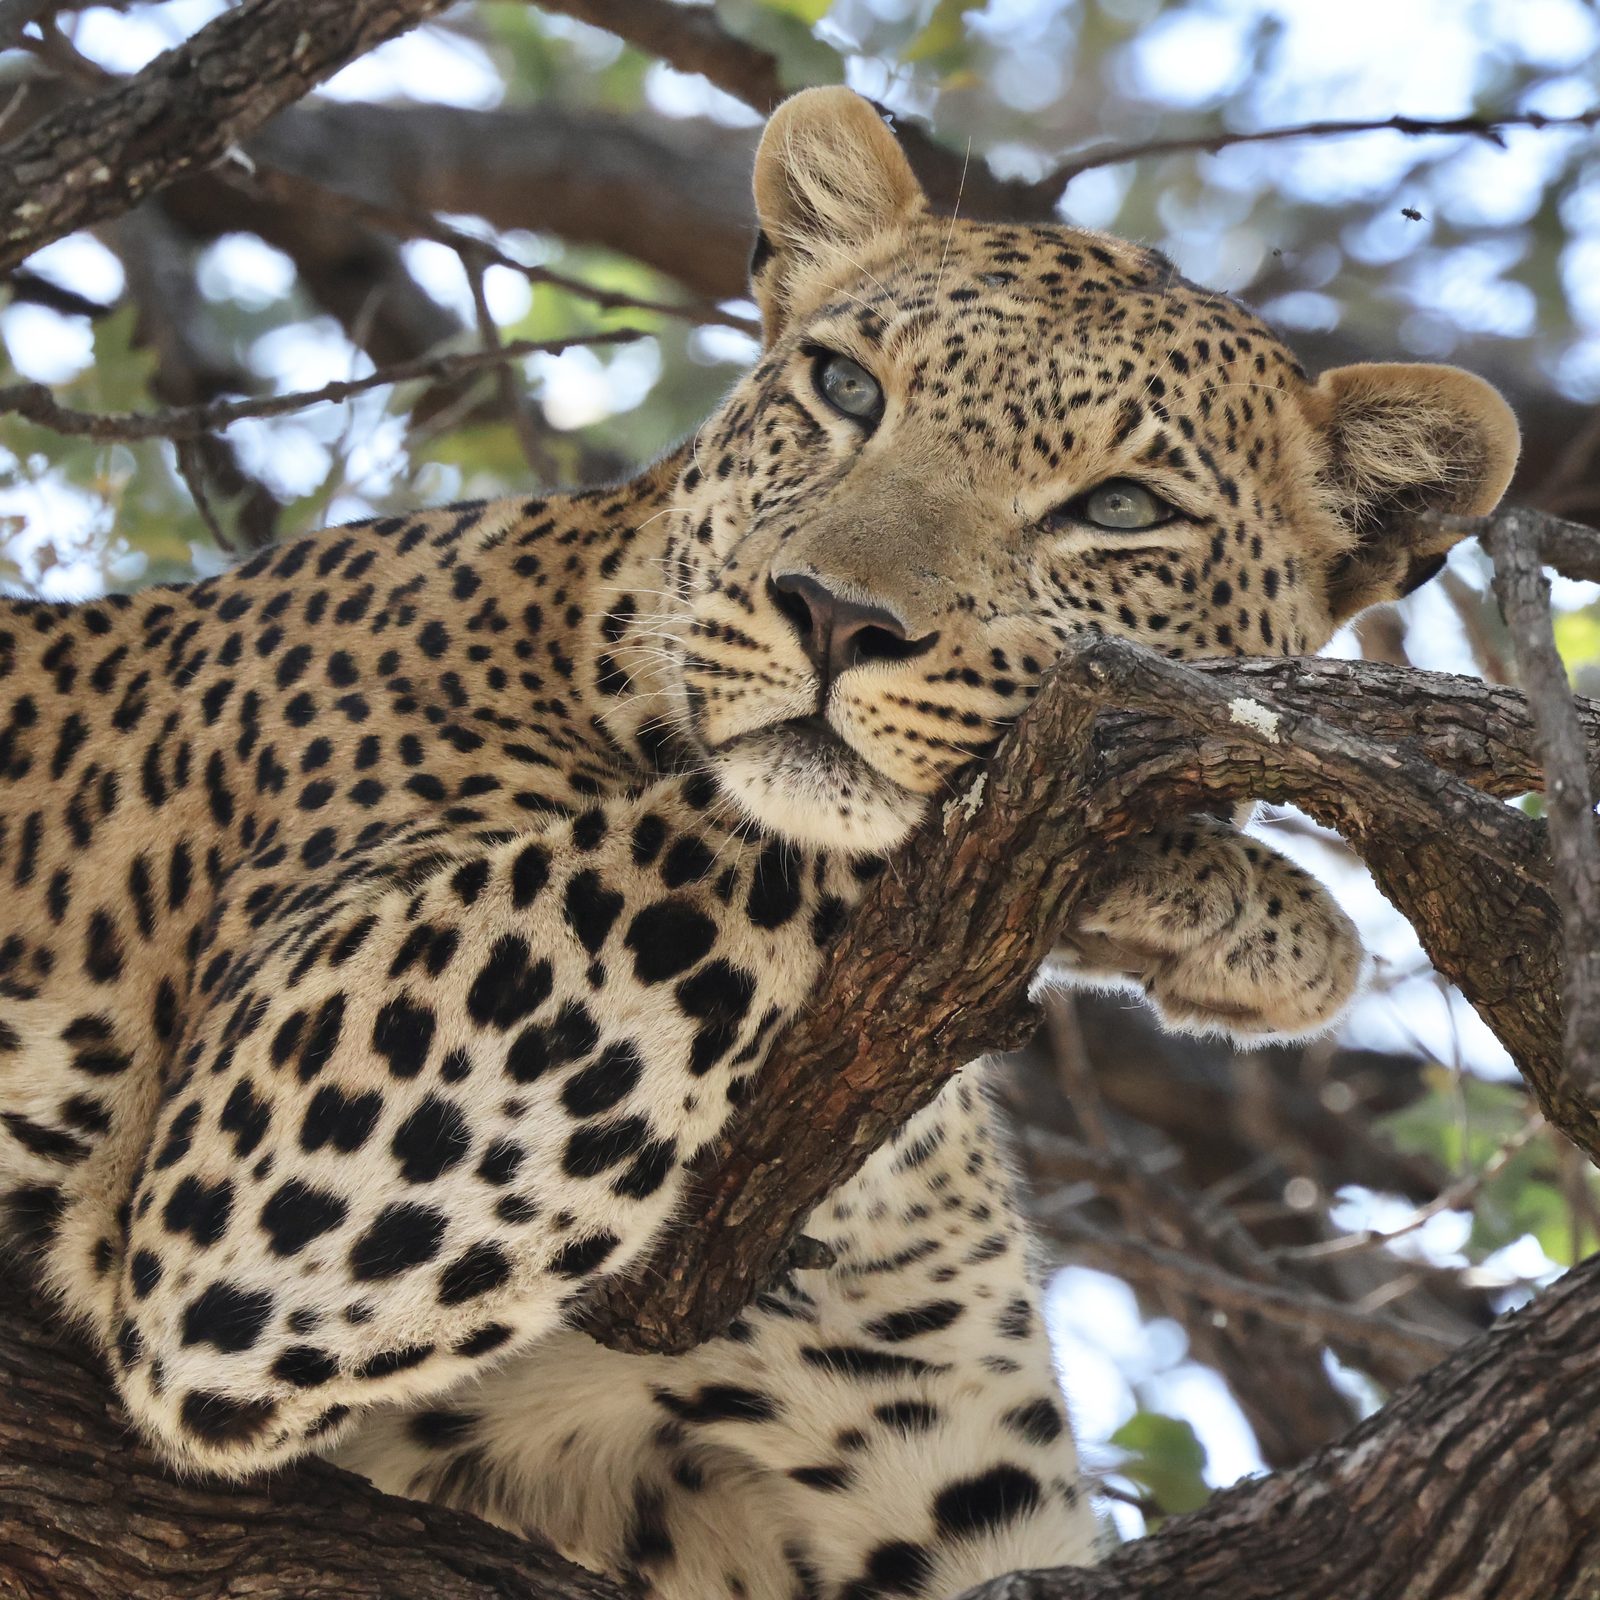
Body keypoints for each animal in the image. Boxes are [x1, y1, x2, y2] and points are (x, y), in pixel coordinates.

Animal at [0, 85, 1517, 1600]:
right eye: (845, 388)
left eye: (1121, 510)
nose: (835, 616)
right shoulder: (255, 1163)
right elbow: (757, 832)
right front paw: (1254, 907)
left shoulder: (949, 1501)